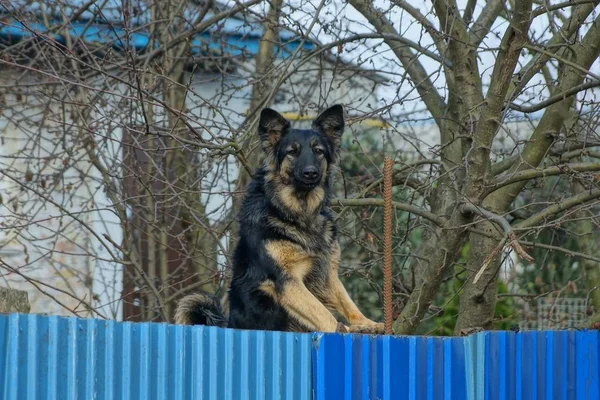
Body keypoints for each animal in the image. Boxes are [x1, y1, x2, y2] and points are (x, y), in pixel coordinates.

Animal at [176, 104, 384, 334]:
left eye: (318, 151)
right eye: (292, 152)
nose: (311, 173)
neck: (297, 212)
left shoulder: (327, 272)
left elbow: (346, 301)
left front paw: (366, 323)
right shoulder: (286, 281)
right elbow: (321, 312)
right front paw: (343, 329)